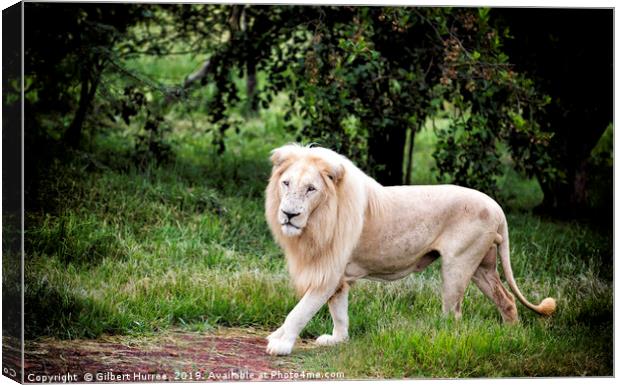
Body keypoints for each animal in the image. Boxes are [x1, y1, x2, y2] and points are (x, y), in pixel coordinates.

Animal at [264, 143, 556, 354]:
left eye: (311, 189)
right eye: (286, 183)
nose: (289, 215)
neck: (316, 223)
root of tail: (498, 208)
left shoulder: (328, 272)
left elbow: (300, 311)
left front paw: (281, 344)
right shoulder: (336, 276)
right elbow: (340, 312)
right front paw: (338, 340)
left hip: (457, 266)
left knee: (454, 316)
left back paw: (440, 342)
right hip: (482, 268)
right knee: (506, 300)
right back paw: (512, 336)